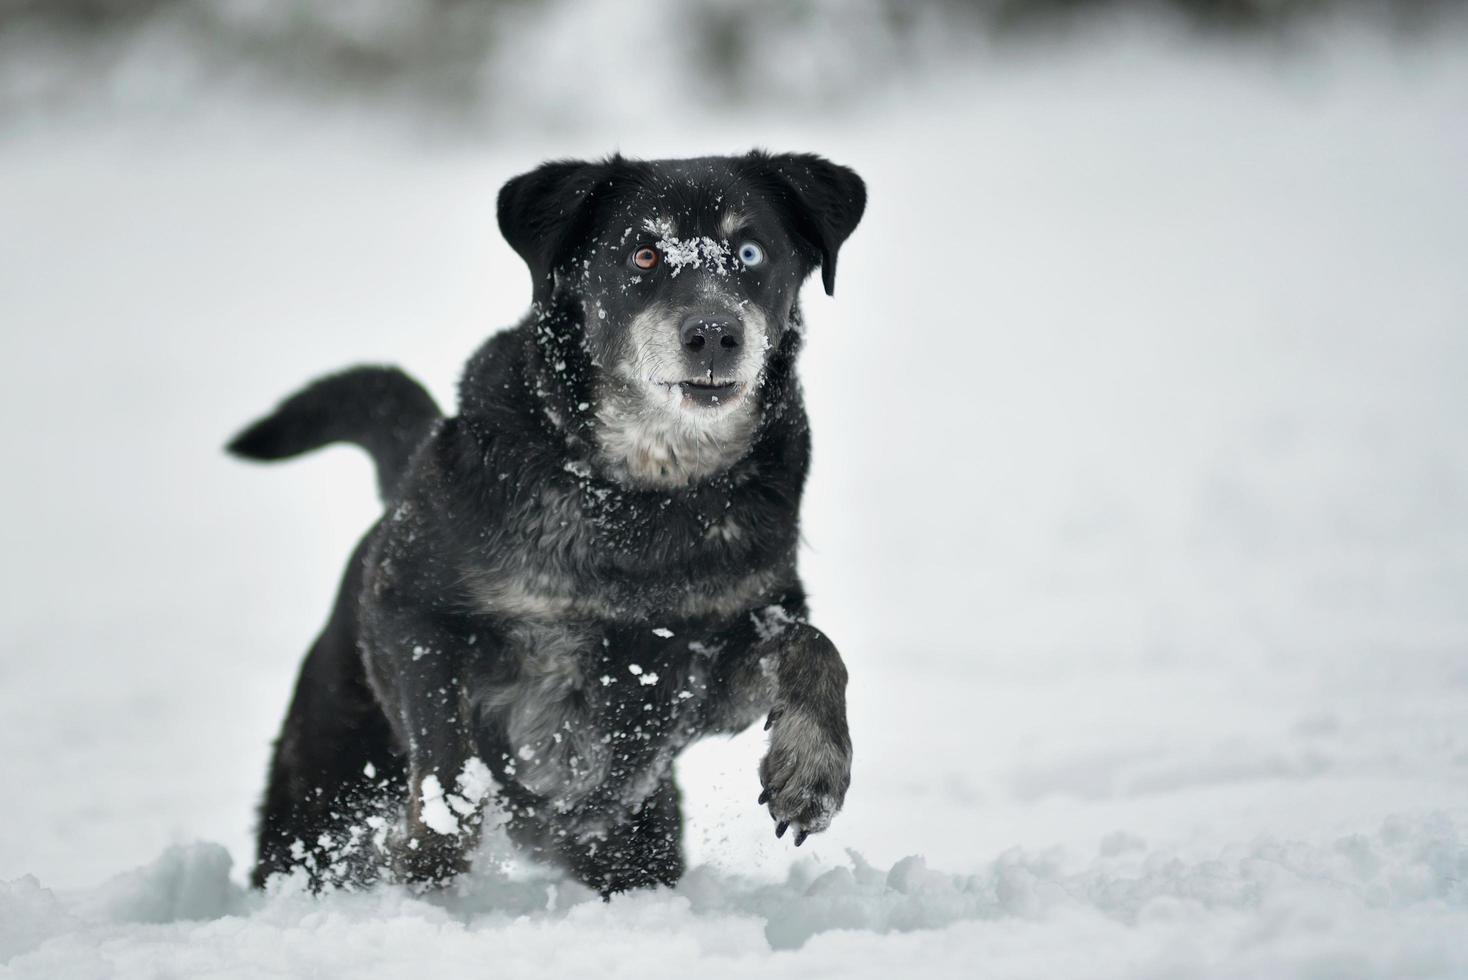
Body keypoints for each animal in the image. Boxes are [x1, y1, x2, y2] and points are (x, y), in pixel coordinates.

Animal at [230, 151, 863, 897]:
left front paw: (812, 771)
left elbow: (813, 646)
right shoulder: (411, 612)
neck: (643, 489)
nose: (714, 333)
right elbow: (446, 760)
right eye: (643, 254)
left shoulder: (701, 666)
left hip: (639, 842)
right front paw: (433, 855)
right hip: (322, 790)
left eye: (750, 251)